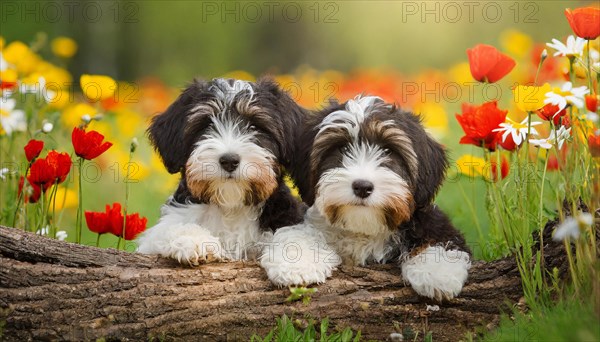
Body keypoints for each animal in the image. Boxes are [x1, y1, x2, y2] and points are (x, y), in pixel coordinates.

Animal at [137, 78, 304, 264]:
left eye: (254, 126)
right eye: (207, 125)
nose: (229, 160)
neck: (230, 207)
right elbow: (169, 228)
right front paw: (194, 241)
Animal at [262, 95, 474, 300]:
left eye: (388, 151)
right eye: (342, 149)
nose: (362, 187)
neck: (363, 228)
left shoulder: (430, 219)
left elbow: (438, 239)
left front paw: (438, 272)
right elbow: (300, 234)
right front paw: (297, 263)